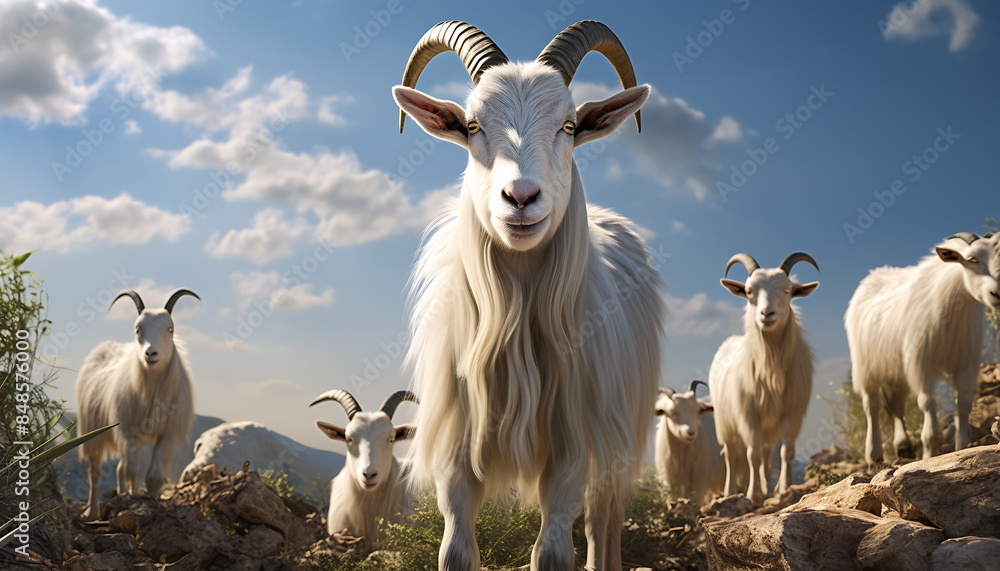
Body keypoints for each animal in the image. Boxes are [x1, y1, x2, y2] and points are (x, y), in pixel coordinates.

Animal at [76, 289, 199, 520]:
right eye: (137, 329)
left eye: (170, 329)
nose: (151, 353)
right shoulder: (126, 430)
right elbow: (131, 469)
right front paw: (131, 502)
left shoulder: (168, 434)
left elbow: (153, 475)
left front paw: (152, 503)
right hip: (92, 431)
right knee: (96, 471)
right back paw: (93, 512)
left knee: (120, 469)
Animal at [393, 20, 663, 571]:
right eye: (472, 126)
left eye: (570, 126)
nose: (520, 197)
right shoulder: (457, 448)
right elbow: (456, 548)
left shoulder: (574, 444)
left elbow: (554, 551)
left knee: (603, 523)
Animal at [708, 253, 818, 506]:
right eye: (749, 292)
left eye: (788, 290)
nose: (766, 314)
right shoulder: (747, 414)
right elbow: (752, 454)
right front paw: (754, 494)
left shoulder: (793, 412)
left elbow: (786, 452)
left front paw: (783, 488)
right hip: (725, 422)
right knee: (732, 454)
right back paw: (730, 492)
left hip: (770, 427)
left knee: (768, 454)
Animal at [846, 232, 1000, 464]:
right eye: (972, 259)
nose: (997, 294)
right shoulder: (920, 363)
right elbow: (927, 402)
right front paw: (929, 452)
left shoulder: (964, 363)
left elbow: (963, 403)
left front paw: (962, 446)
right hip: (866, 367)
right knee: (871, 406)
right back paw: (874, 456)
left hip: (897, 370)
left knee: (897, 403)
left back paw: (903, 446)